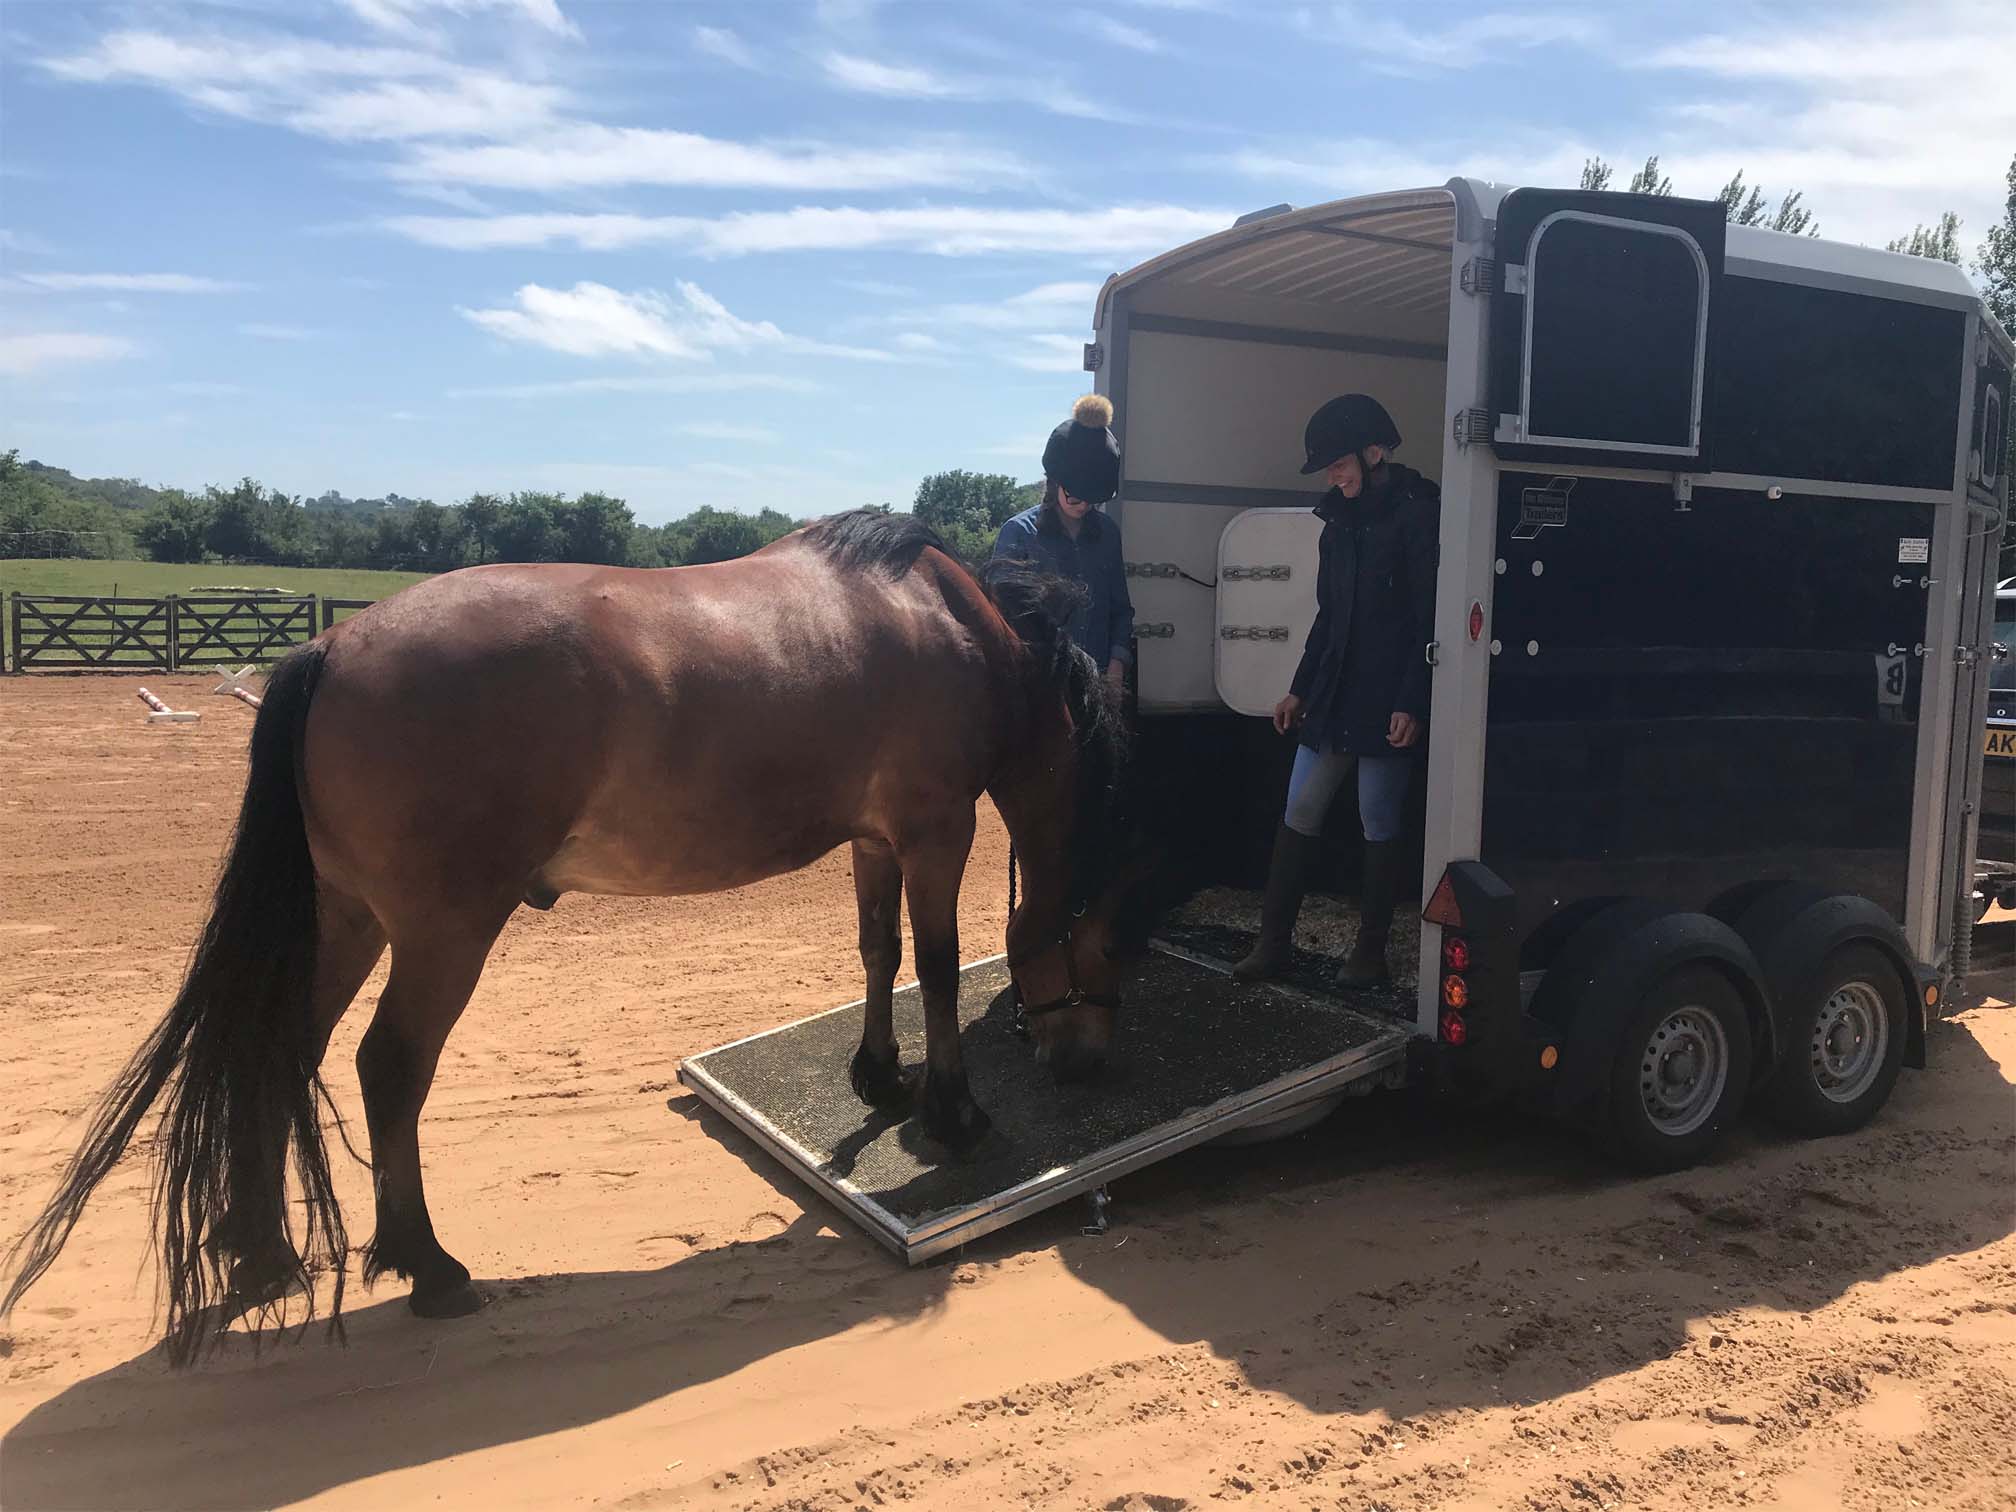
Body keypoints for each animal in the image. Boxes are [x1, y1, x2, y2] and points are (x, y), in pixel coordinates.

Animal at [3, 516, 1153, 1370]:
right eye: (1110, 951)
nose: (1091, 1065)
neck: (954, 629)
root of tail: (332, 646)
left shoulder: (875, 841)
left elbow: (876, 954)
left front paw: (879, 1075)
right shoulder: (934, 832)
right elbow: (937, 965)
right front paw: (954, 1114)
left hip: (348, 919)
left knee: (280, 1048)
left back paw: (259, 1251)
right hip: (442, 933)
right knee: (389, 1068)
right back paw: (428, 1267)